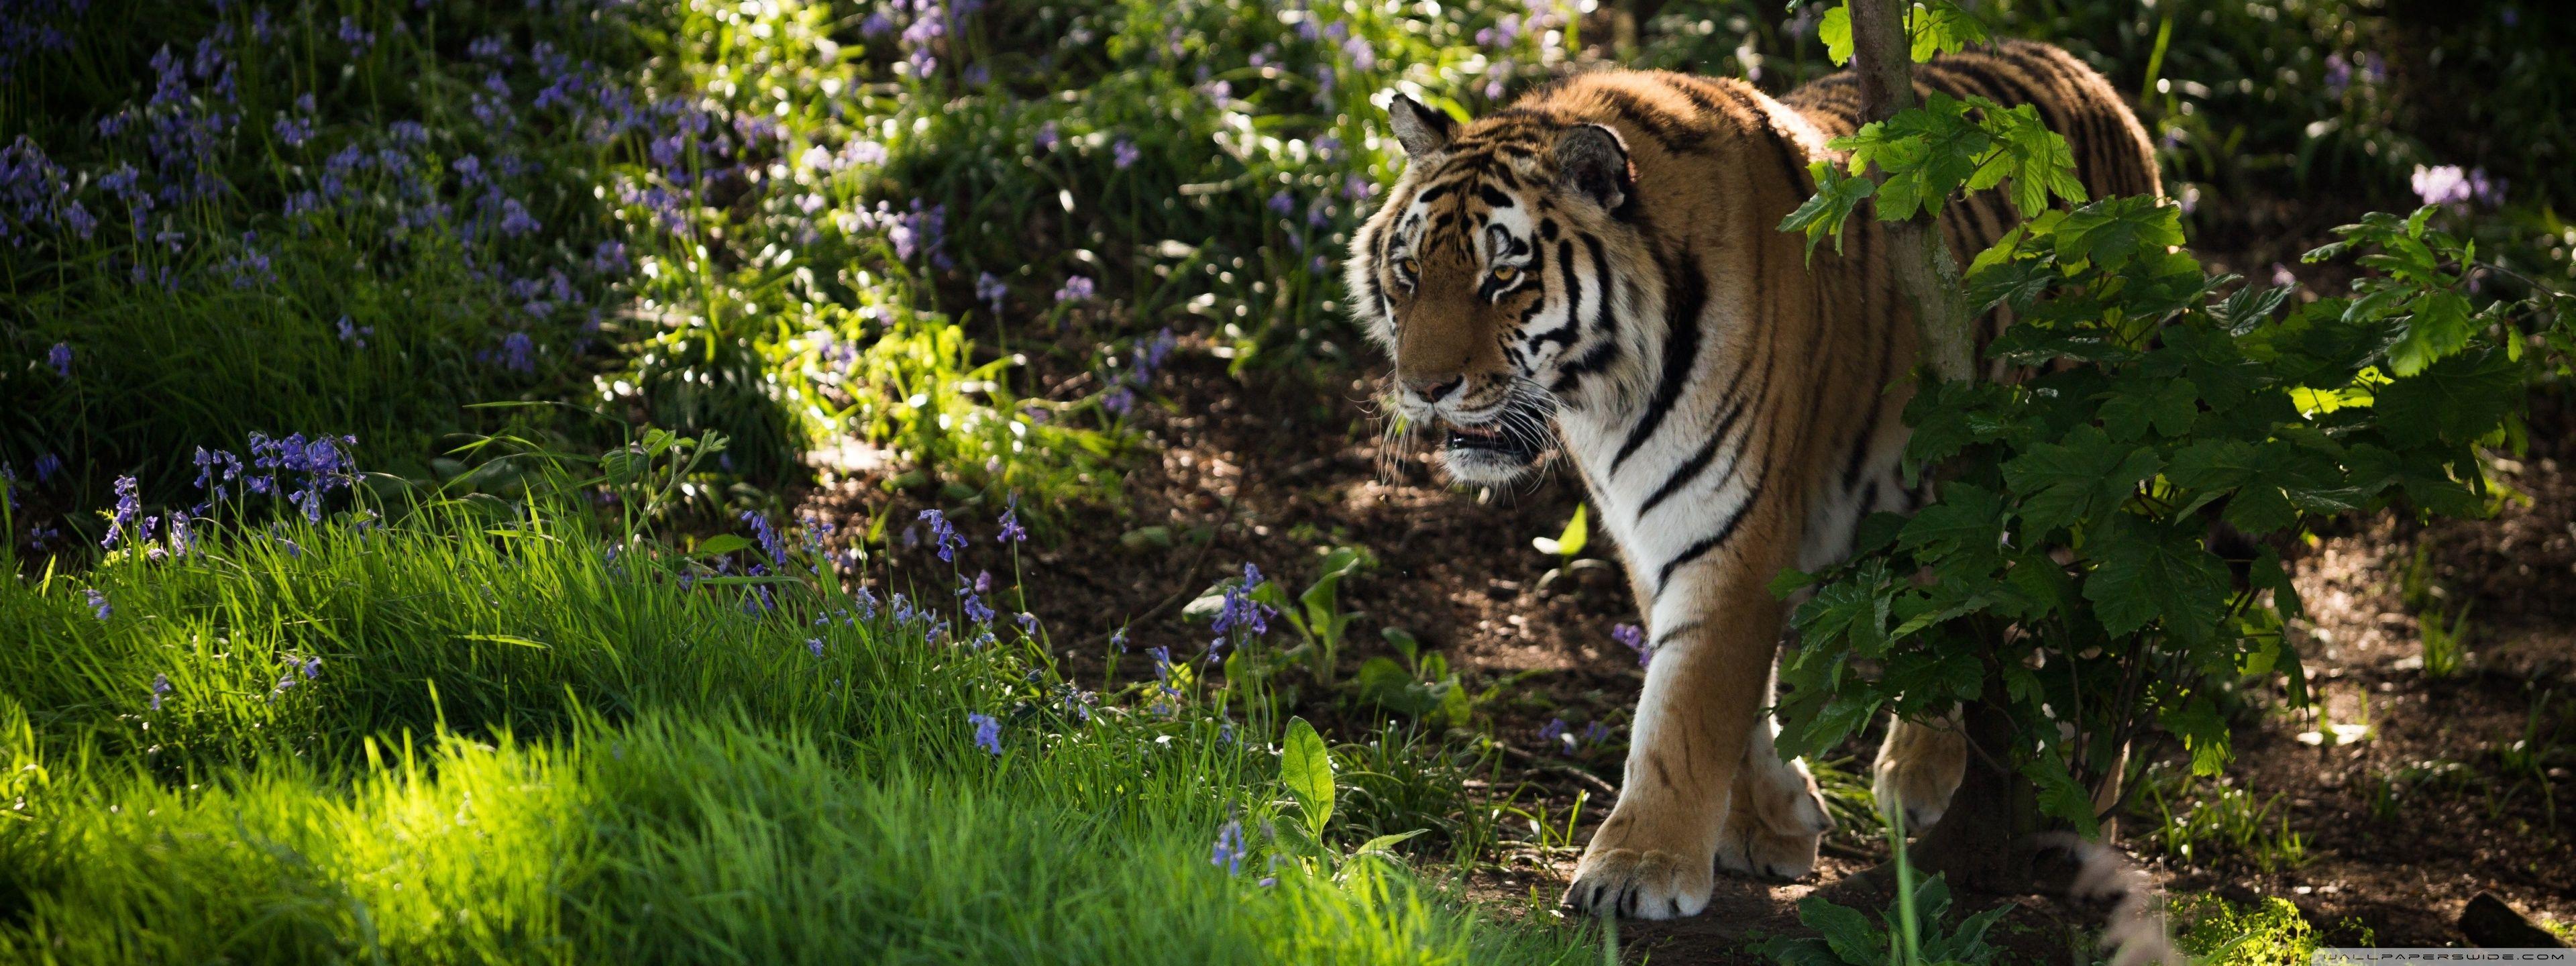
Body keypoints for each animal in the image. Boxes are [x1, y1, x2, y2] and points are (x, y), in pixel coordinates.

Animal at [1342, 38, 2160, 919]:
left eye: (1503, 278)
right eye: (1408, 273)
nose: (1424, 388)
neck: (1602, 393)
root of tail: (2087, 73)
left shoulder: (1730, 519)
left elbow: (1688, 704)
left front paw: (1639, 867)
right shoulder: (1654, 528)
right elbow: (1724, 692)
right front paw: (1769, 824)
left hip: (2082, 476)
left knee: (2098, 660)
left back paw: (2083, 832)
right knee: (1955, 610)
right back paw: (1922, 776)